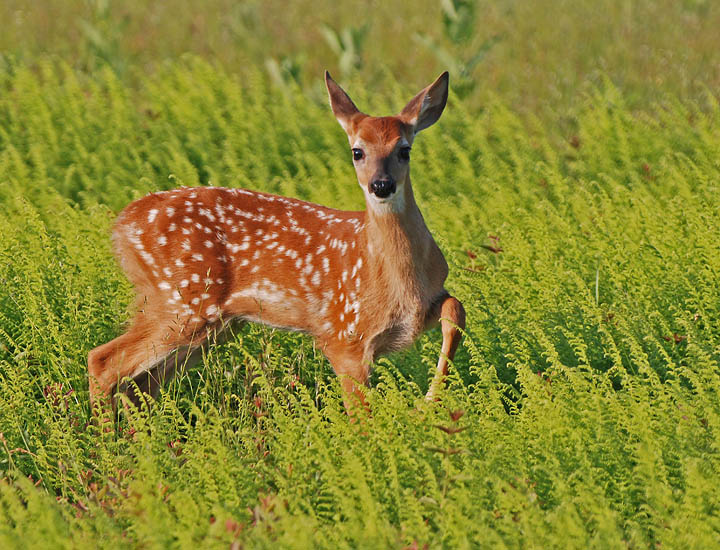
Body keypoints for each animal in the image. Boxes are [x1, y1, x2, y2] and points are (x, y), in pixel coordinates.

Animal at [88, 71, 466, 414]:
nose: (381, 185)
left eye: (405, 150)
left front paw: (429, 402)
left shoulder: (424, 305)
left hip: (208, 325)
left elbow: (455, 310)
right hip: (180, 302)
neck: (399, 278)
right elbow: (362, 415)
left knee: (140, 382)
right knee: (103, 361)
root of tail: (121, 226)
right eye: (357, 151)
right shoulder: (344, 335)